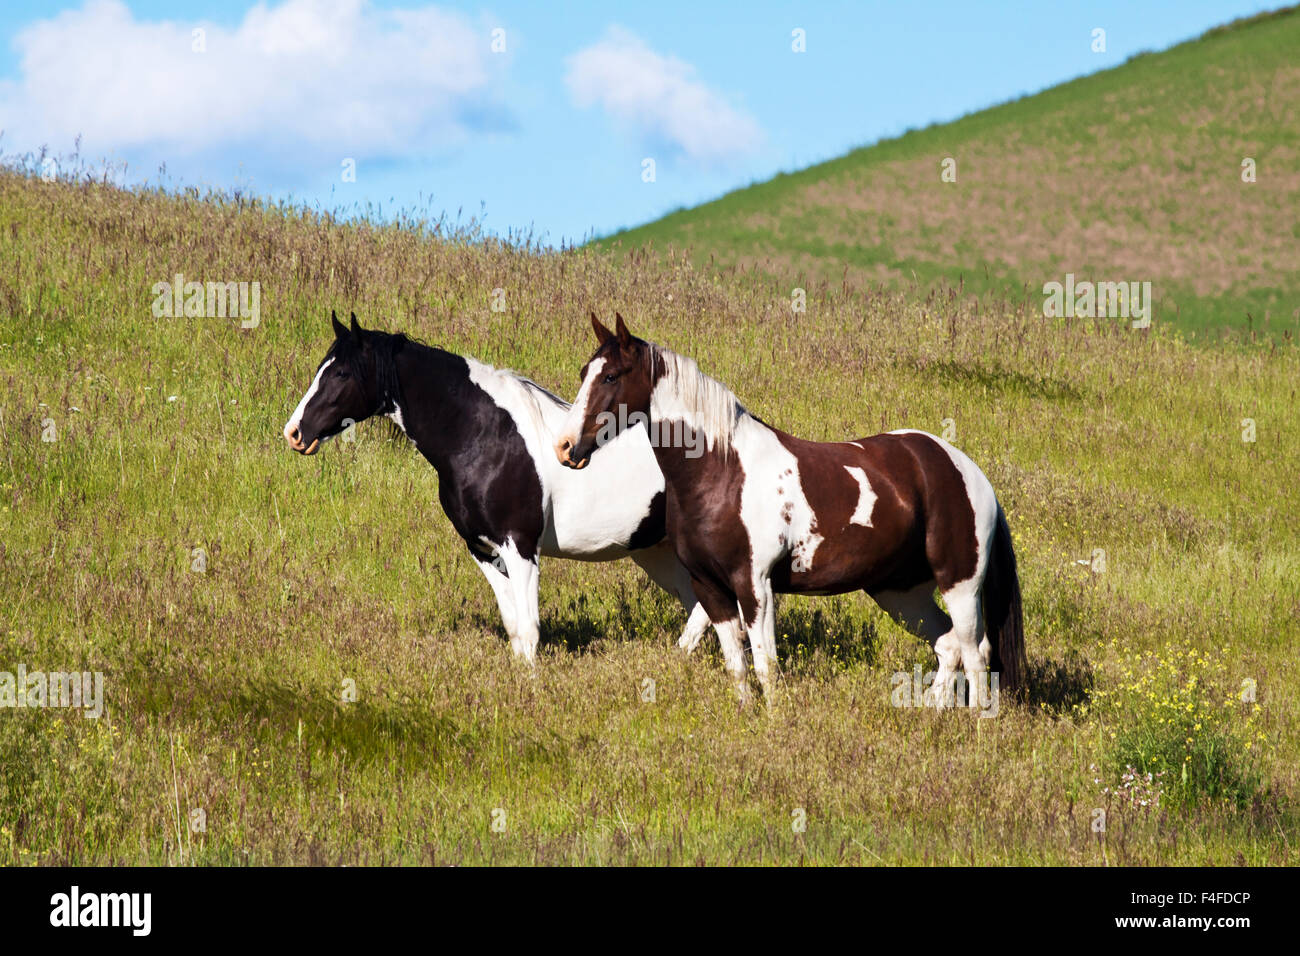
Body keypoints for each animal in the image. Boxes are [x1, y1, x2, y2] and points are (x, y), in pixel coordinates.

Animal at [286, 312, 712, 658]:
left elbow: (530, 630)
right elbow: (514, 628)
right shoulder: (481, 548)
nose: (295, 432)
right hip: (655, 551)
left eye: (341, 373)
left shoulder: (520, 545)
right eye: (323, 367)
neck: (484, 436)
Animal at [553, 316, 1029, 712]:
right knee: (949, 646)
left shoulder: (756, 586)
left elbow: (766, 665)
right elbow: (737, 665)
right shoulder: (709, 588)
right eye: (584, 373)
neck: (722, 470)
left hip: (960, 583)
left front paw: (776, 721)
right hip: (899, 590)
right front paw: (747, 715)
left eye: (611, 376)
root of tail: (966, 471)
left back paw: (978, 724)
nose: (566, 447)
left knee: (976, 652)